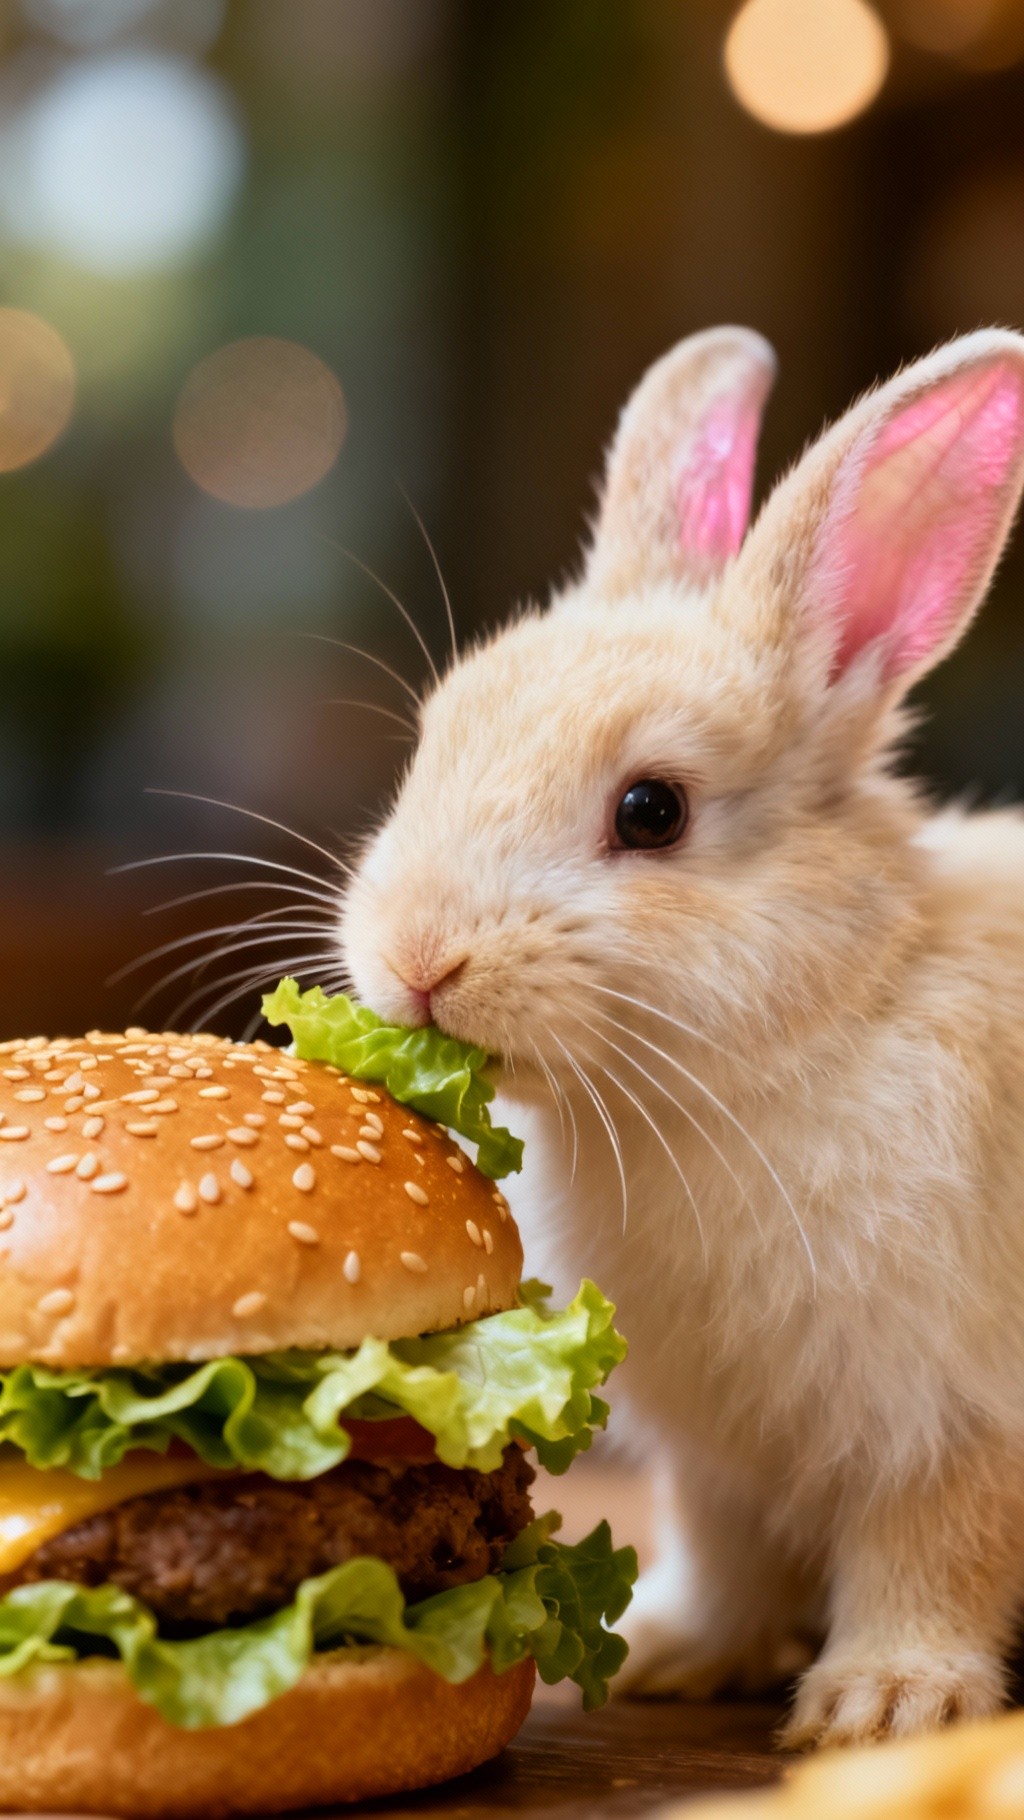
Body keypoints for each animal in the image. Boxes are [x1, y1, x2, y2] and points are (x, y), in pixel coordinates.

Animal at [339, 322, 1024, 1749]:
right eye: (438, 733)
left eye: (651, 810)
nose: (417, 960)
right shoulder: (718, 1458)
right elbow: (725, 1551)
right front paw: (676, 1651)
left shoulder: (954, 1417)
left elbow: (935, 1551)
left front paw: (883, 1708)